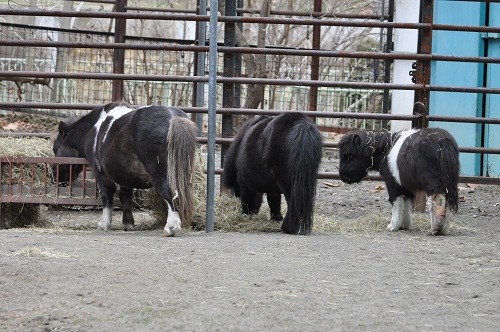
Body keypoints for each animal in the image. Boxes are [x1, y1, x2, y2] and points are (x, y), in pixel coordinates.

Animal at [52, 102, 197, 237]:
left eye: (55, 149)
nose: (56, 178)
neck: (93, 129)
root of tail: (173, 118)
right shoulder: (125, 175)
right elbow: (126, 197)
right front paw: (128, 224)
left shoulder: (100, 172)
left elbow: (107, 195)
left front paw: (104, 224)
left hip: (161, 173)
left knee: (170, 193)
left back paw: (170, 227)